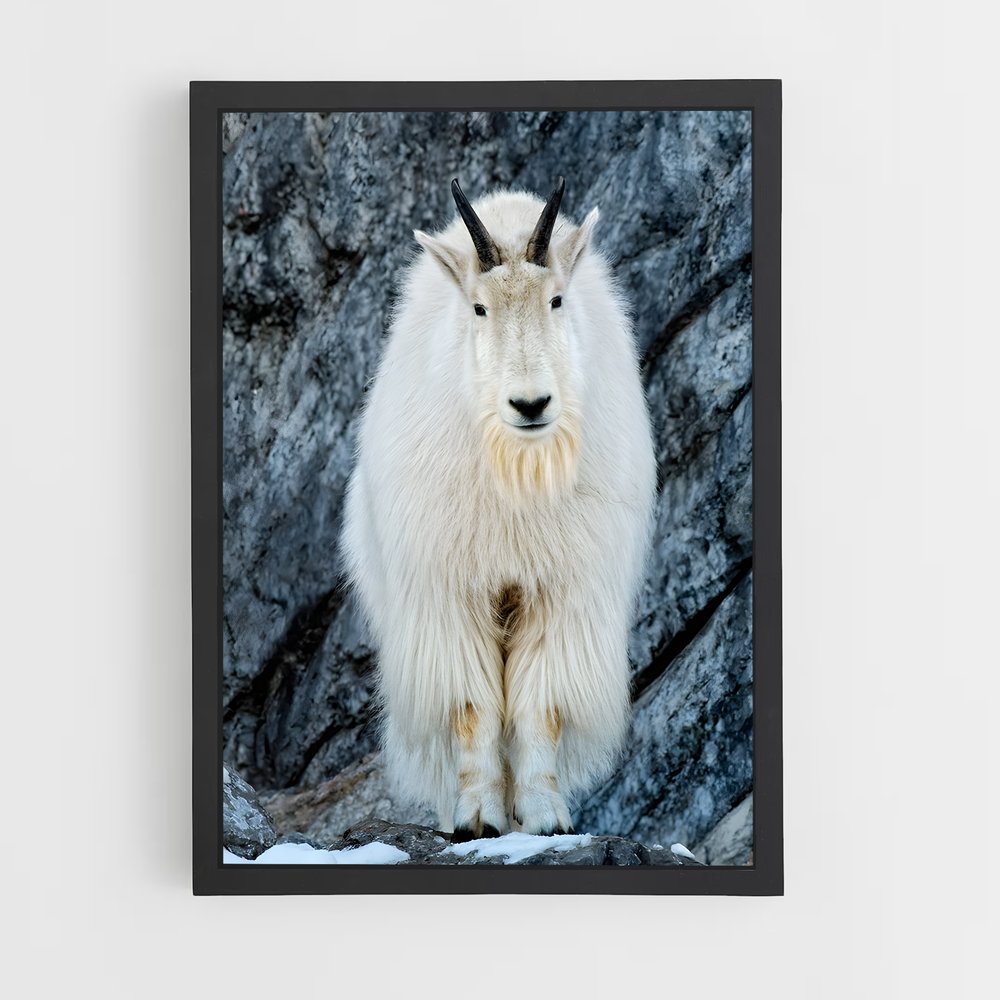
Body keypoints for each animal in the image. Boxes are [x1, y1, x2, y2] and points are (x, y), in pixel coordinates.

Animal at [340, 177, 655, 839]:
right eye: (479, 309)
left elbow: (541, 707)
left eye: (556, 300)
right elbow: (471, 706)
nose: (530, 404)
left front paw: (544, 818)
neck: (518, 473)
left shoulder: (561, 589)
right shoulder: (450, 591)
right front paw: (477, 817)